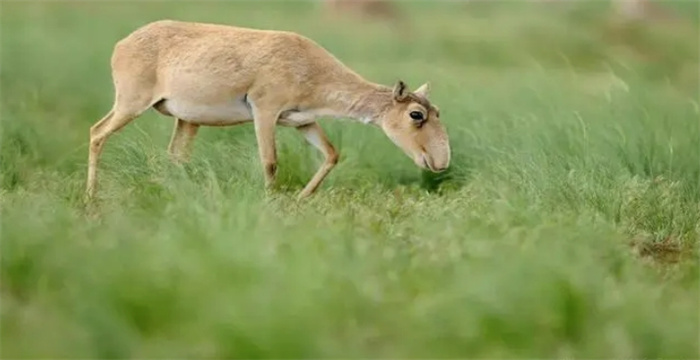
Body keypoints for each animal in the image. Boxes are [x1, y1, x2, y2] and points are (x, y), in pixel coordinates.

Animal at [86, 20, 448, 200]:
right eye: (416, 114)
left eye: (438, 112)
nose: (440, 162)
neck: (310, 67)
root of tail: (122, 44)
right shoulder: (264, 111)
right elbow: (270, 161)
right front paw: (271, 204)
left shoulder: (303, 121)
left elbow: (331, 154)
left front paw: (301, 199)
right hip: (131, 103)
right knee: (97, 133)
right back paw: (91, 199)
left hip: (187, 121)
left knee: (175, 157)